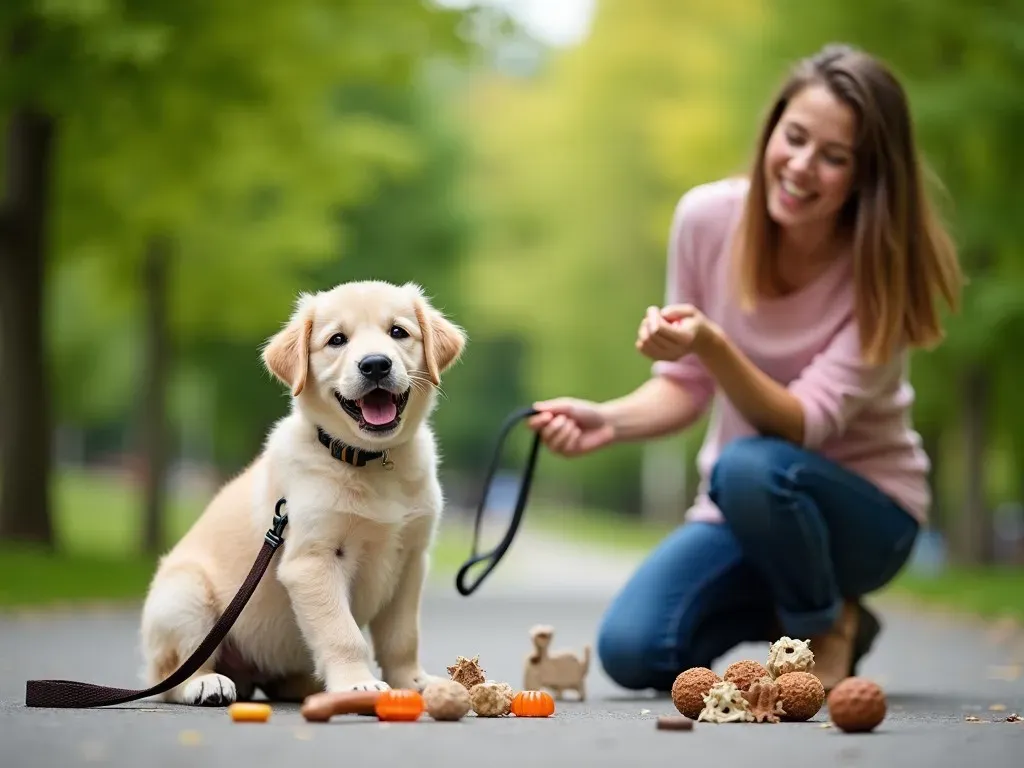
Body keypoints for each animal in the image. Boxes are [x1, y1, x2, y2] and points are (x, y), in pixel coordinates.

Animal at [138, 280, 466, 708]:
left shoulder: (410, 560)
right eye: (337, 340)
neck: (367, 460)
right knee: (173, 673)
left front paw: (413, 683)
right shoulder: (313, 559)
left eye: (398, 332)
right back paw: (207, 684)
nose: (375, 364)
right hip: (184, 595)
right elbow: (342, 632)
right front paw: (357, 683)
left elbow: (402, 638)